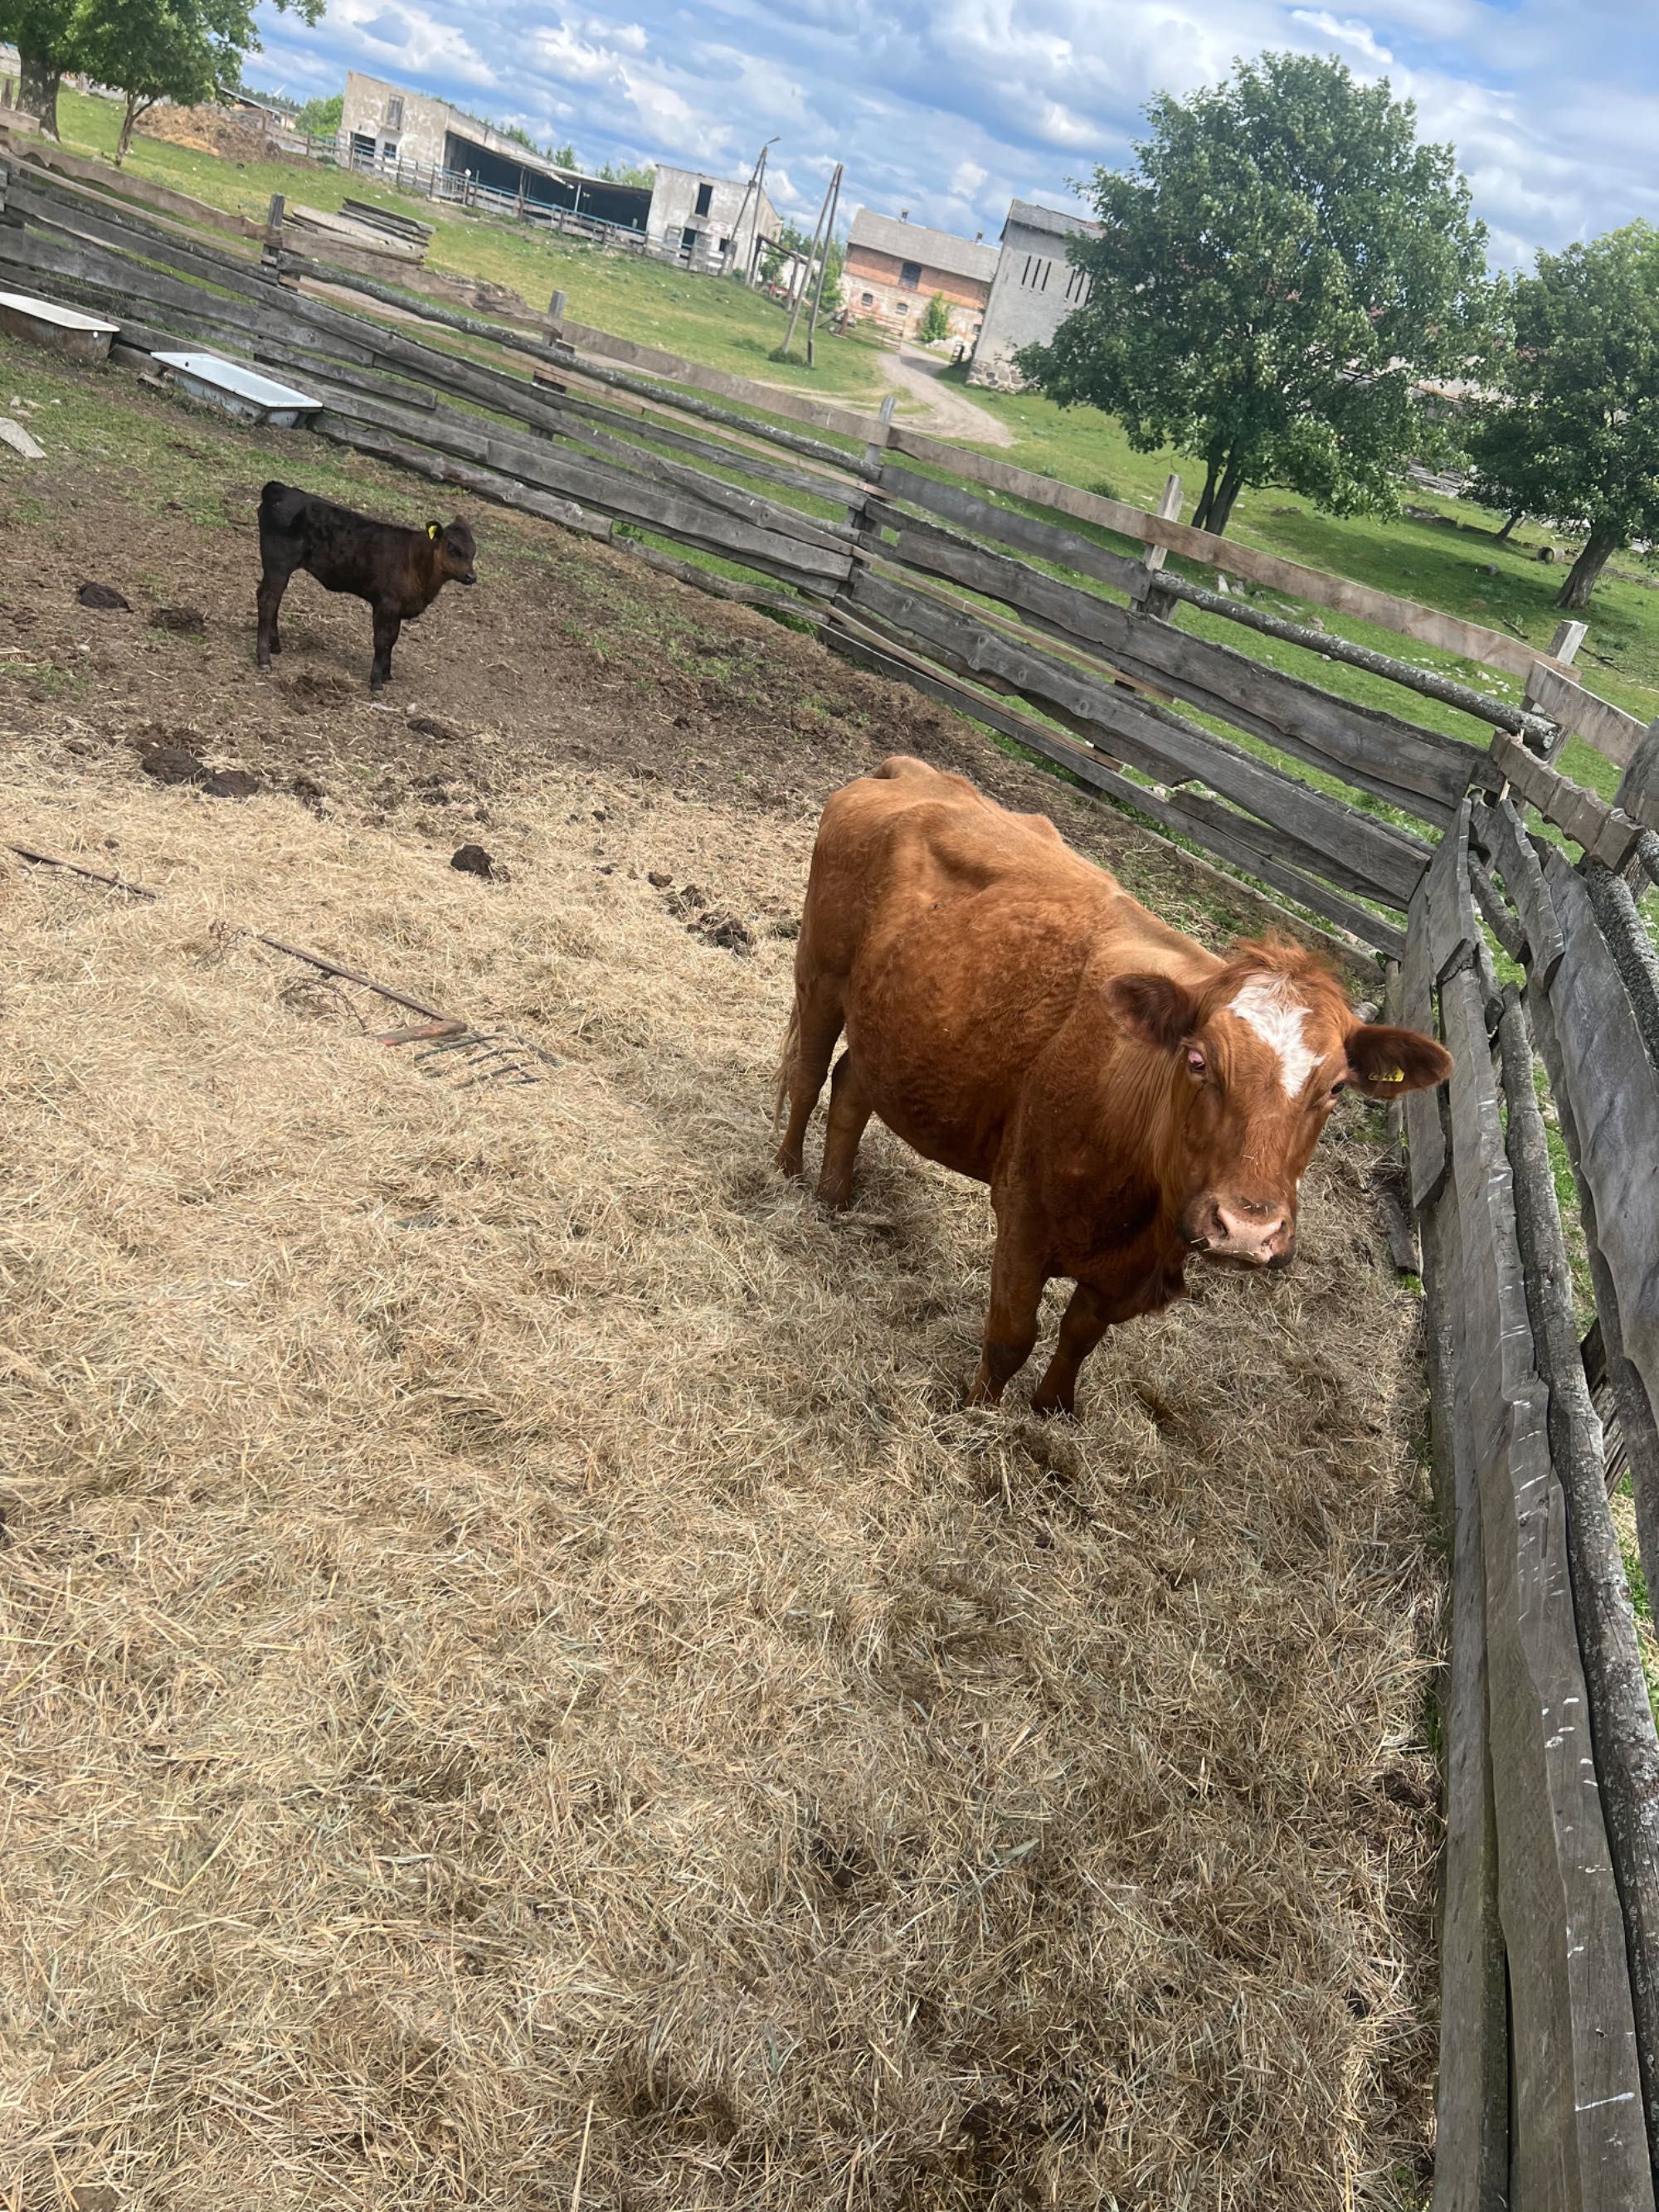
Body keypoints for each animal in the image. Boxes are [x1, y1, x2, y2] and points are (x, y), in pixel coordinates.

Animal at [774, 761, 1451, 1415]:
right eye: (1198, 1059)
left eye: (1336, 1087)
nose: (1247, 1230)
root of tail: (912, 771)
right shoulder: (1023, 1215)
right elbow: (1011, 1336)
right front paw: (974, 1416)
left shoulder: (1126, 1273)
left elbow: (1081, 1333)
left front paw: (1053, 1409)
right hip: (820, 971)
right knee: (808, 1074)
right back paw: (787, 1174)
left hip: (890, 1024)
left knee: (851, 1085)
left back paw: (835, 1196)